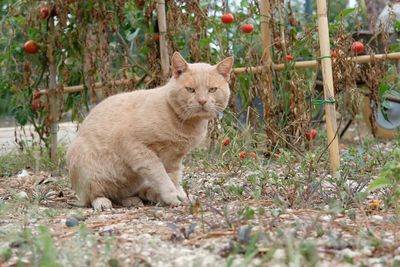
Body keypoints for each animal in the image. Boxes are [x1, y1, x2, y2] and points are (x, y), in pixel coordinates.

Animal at [67, 52, 233, 210]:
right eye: (190, 90)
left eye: (212, 90)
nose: (202, 101)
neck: (187, 125)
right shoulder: (137, 149)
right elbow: (160, 174)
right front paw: (173, 196)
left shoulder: (174, 159)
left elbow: (174, 178)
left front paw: (180, 194)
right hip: (88, 172)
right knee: (95, 196)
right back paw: (104, 202)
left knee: (126, 193)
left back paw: (136, 199)